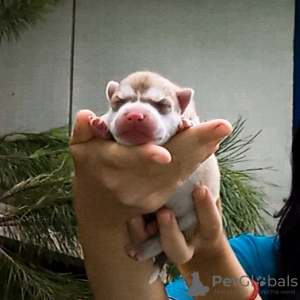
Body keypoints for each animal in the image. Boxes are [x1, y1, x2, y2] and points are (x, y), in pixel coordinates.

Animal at [89, 71, 220, 282]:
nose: (134, 115)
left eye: (162, 104)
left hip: (188, 219)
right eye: (119, 101)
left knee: (159, 241)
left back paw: (141, 250)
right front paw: (101, 123)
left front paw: (184, 123)